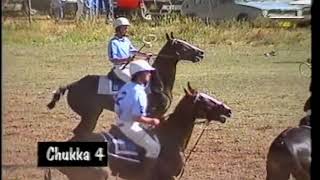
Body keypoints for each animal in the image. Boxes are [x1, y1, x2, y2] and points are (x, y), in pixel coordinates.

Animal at [46, 32, 204, 136]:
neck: (158, 82)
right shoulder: (154, 113)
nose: (201, 53)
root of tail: (72, 85)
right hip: (90, 114)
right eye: (182, 45)